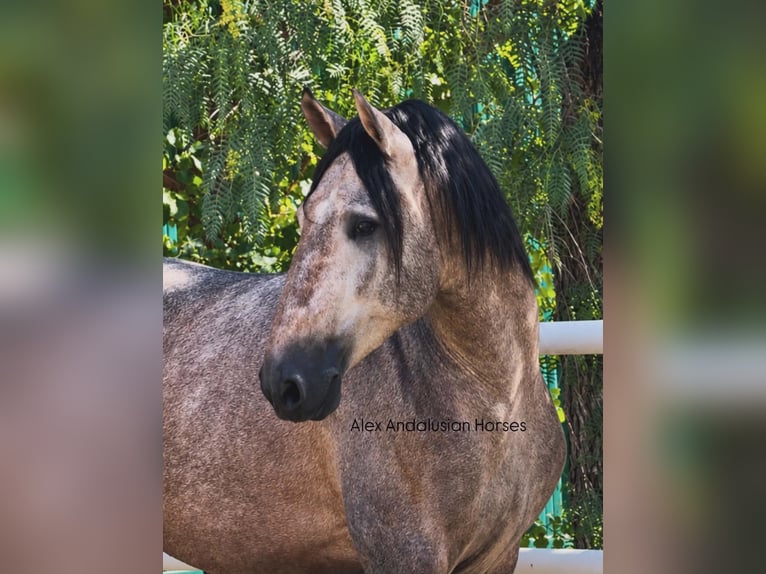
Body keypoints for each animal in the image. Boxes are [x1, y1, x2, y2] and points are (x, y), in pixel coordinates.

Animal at [163, 88, 566, 573]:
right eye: (302, 221)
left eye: (364, 224)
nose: (283, 383)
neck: (497, 405)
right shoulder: (403, 555)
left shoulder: (499, 556)